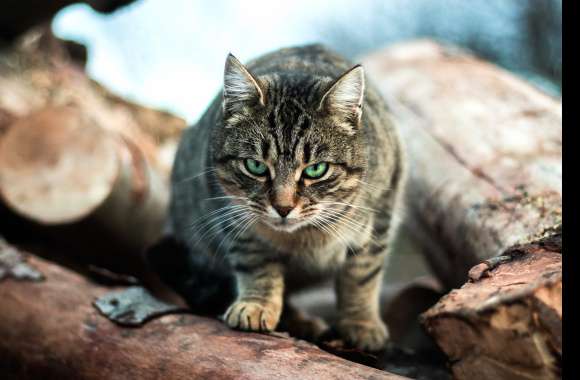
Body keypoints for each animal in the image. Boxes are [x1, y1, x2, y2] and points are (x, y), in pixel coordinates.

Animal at [165, 43, 406, 350]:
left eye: (316, 169)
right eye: (255, 166)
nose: (283, 207)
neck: (305, 238)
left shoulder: (382, 211)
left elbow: (362, 274)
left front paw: (361, 322)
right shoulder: (232, 214)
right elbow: (257, 264)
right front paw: (256, 305)